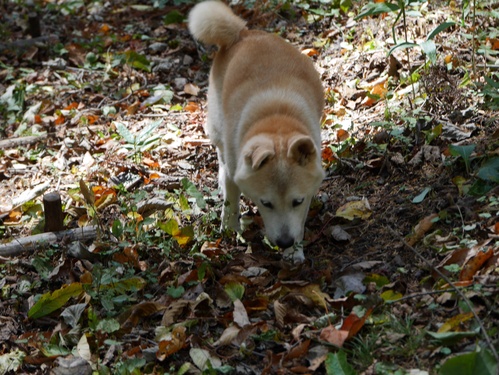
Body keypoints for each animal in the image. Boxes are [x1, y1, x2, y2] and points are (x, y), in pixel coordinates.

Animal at [189, 1, 326, 262]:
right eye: (266, 203)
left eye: (297, 201)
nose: (284, 243)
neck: (276, 119)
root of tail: (242, 34)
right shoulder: (234, 170)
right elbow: (231, 201)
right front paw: (230, 229)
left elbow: (299, 222)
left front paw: (295, 252)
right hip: (217, 128)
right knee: (220, 158)